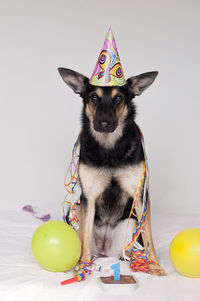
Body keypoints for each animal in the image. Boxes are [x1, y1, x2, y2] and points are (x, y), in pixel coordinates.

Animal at [57, 68, 166, 274]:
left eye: (118, 98)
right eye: (93, 97)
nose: (104, 124)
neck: (110, 149)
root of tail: (103, 250)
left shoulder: (140, 195)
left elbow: (148, 235)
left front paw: (154, 264)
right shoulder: (88, 197)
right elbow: (84, 239)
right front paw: (83, 266)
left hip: (129, 225)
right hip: (75, 214)